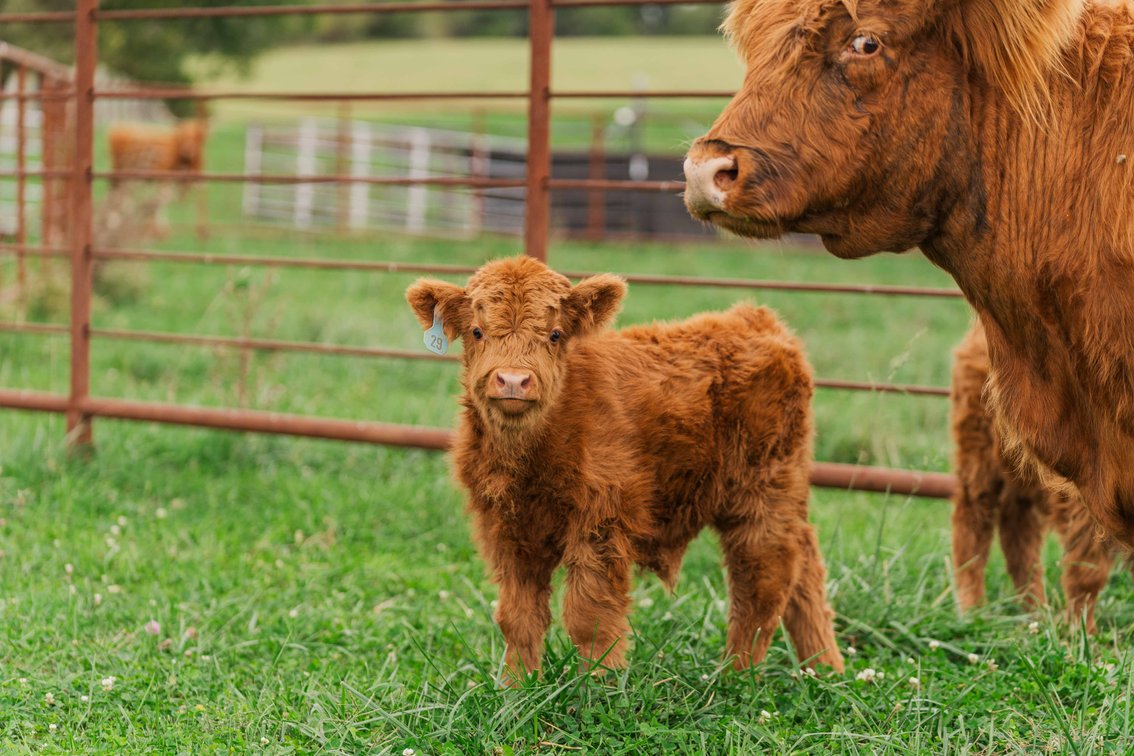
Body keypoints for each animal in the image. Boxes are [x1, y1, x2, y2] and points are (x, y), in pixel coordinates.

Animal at [405, 255, 844, 683]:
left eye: (555, 334)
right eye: (477, 331)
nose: (513, 380)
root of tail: (755, 320)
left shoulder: (602, 523)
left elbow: (590, 617)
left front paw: (599, 690)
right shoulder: (507, 530)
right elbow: (519, 617)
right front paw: (518, 689)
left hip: (761, 492)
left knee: (764, 578)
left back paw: (735, 678)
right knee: (805, 567)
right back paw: (825, 669)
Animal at [951, 320, 1122, 632]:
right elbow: (1088, 570)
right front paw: (1083, 635)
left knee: (1018, 533)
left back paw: (1034, 614)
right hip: (980, 454)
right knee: (972, 521)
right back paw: (974, 610)